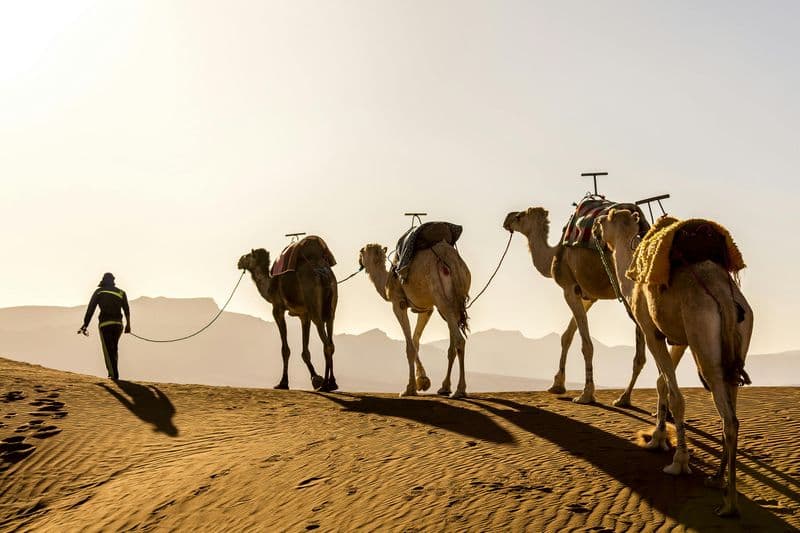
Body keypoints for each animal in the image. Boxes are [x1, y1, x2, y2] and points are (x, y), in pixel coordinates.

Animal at [238, 240, 338, 392]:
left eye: (248, 255)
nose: (239, 261)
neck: (269, 286)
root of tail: (323, 272)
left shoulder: (277, 309)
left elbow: (285, 349)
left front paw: (283, 383)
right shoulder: (304, 315)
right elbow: (305, 351)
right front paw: (315, 379)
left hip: (315, 307)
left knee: (326, 344)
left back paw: (325, 385)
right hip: (331, 310)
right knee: (331, 342)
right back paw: (332, 383)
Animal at [359, 242, 471, 398]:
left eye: (361, 252)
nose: (359, 261)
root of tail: (454, 263)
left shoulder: (398, 303)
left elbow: (410, 346)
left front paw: (410, 388)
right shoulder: (426, 308)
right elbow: (415, 341)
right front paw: (423, 381)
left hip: (441, 298)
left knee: (460, 340)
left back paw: (460, 390)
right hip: (454, 303)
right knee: (452, 345)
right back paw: (445, 387)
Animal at [503, 207, 646, 405]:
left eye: (519, 216)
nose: (506, 219)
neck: (554, 254)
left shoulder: (568, 288)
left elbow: (586, 344)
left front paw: (586, 394)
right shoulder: (588, 296)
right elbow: (567, 337)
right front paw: (557, 384)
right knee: (642, 353)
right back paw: (625, 398)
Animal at [596, 209, 753, 516]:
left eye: (607, 217)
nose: (595, 224)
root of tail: (724, 296)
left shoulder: (651, 330)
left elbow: (676, 395)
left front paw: (678, 462)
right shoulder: (679, 338)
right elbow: (661, 383)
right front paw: (657, 437)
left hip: (704, 341)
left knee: (728, 418)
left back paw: (729, 503)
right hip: (737, 342)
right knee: (733, 413)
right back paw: (716, 478)